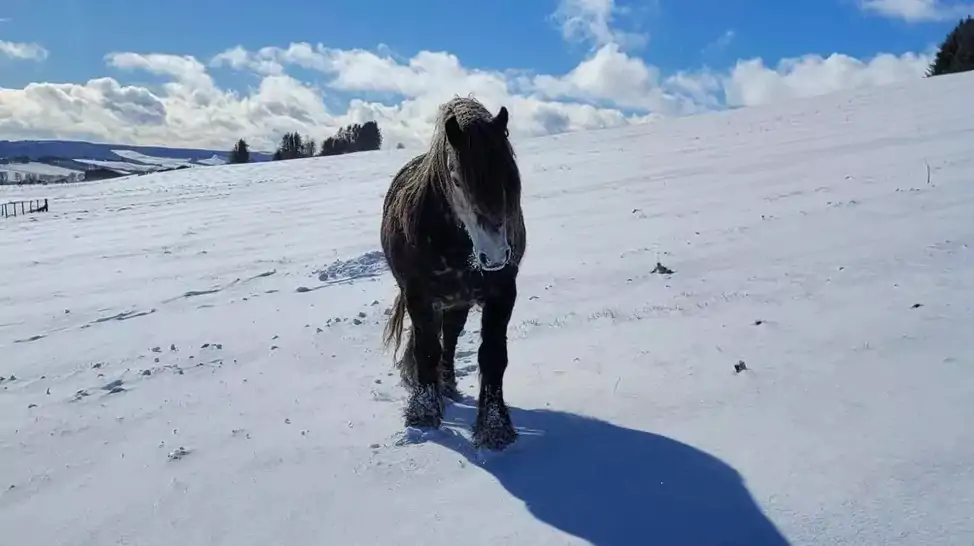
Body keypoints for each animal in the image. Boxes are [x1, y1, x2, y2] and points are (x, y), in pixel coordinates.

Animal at [382, 95, 528, 448]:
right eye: (458, 180)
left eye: (510, 177)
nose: (495, 256)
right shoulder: (418, 296)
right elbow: (425, 352)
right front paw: (423, 414)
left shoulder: (503, 293)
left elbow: (493, 356)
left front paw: (494, 428)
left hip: (458, 303)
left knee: (450, 338)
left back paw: (447, 386)